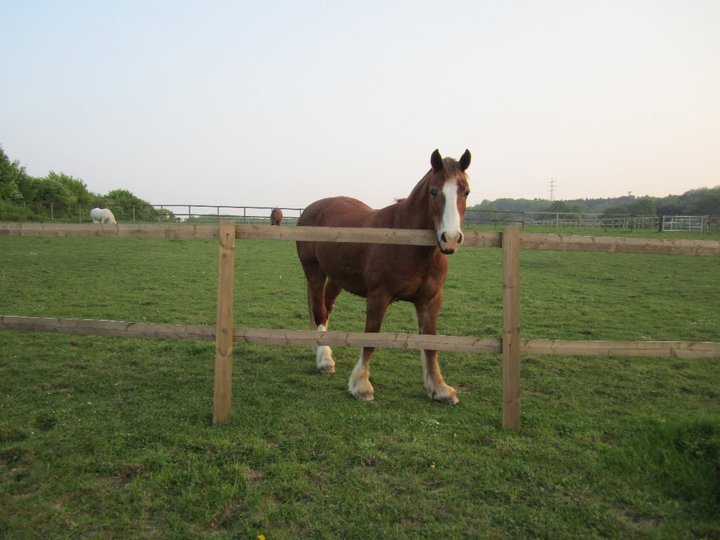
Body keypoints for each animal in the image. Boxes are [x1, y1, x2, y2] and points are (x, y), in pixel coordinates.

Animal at [296, 149, 471, 404]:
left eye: (465, 191)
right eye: (433, 191)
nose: (449, 239)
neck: (408, 243)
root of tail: (311, 209)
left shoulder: (430, 300)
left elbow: (430, 342)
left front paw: (439, 388)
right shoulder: (379, 296)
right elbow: (371, 337)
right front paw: (361, 385)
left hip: (336, 278)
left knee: (326, 310)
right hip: (314, 271)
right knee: (319, 311)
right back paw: (324, 360)